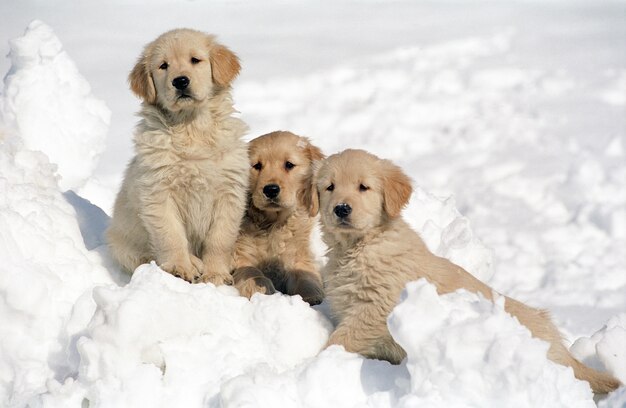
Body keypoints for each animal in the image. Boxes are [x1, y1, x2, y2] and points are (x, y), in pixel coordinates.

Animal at [105, 28, 246, 286]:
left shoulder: (229, 192)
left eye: (195, 60)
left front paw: (216, 274)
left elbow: (220, 239)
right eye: (163, 66)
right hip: (122, 245)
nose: (180, 81)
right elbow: (170, 236)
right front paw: (180, 268)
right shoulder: (158, 193)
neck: (190, 127)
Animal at [232, 132, 324, 304]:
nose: (271, 190)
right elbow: (250, 270)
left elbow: (304, 274)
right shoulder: (240, 252)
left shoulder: (297, 253)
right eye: (257, 166)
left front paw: (311, 295)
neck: (273, 223)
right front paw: (258, 287)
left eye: (289, 164)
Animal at [316, 148, 620, 394]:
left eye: (363, 187)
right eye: (329, 187)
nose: (341, 209)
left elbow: (340, 340)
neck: (361, 246)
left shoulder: (374, 309)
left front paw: (315, 361)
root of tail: (562, 351)